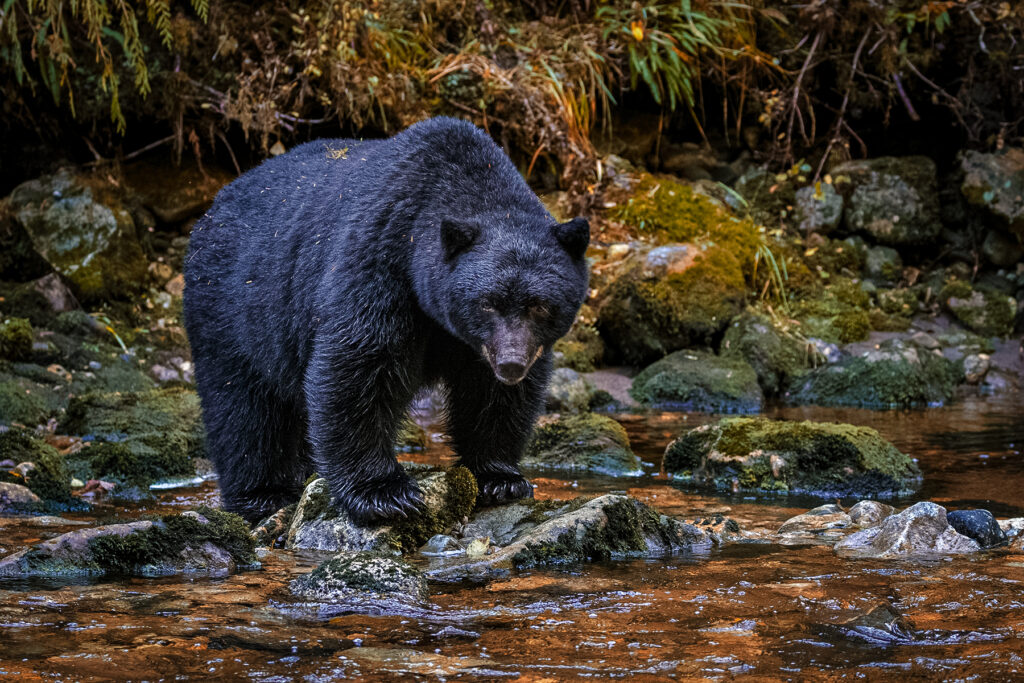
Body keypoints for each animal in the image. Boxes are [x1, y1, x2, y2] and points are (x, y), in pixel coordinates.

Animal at [183, 117, 590, 525]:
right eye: (487, 303)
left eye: (540, 305)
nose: (511, 364)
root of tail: (213, 207)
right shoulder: (380, 260)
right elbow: (358, 367)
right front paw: (383, 493)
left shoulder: (481, 344)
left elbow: (492, 395)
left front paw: (500, 478)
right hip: (233, 309)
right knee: (243, 408)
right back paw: (263, 494)